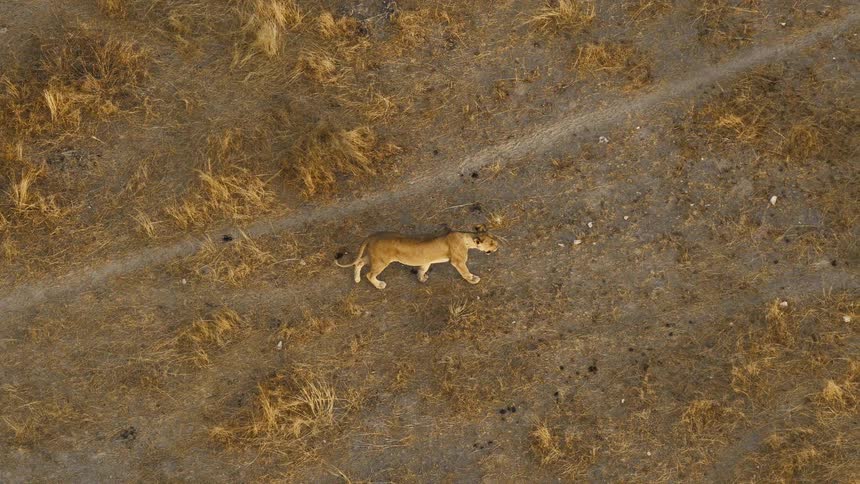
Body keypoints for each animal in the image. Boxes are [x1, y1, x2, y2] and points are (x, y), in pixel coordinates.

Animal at [335, 226, 499, 289]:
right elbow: (465, 272)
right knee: (369, 274)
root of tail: (373, 236)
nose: (497, 245)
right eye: (491, 242)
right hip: (381, 261)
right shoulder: (458, 261)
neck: (466, 238)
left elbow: (422, 269)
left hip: (374, 257)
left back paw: (356, 279)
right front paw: (473, 280)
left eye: (493, 237)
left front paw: (421, 278)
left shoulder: (426, 261)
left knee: (359, 262)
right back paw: (379, 284)